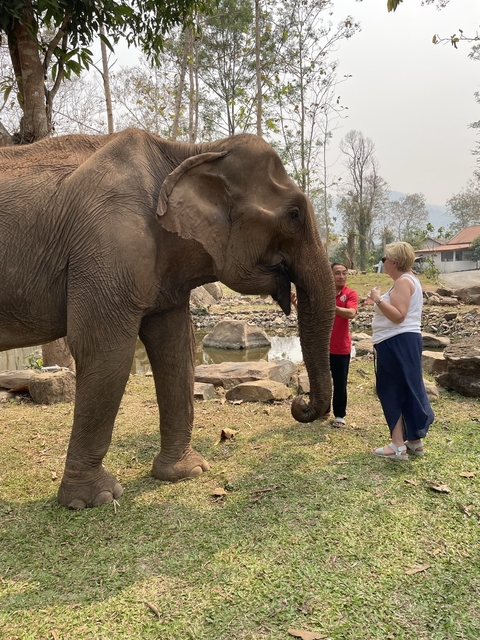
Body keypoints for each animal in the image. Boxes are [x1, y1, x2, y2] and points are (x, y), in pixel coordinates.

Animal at [0, 129, 335, 509]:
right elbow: (106, 351)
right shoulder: (110, 244)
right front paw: (94, 499)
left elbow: (177, 349)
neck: (188, 151)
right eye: (294, 214)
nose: (299, 404)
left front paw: (187, 473)